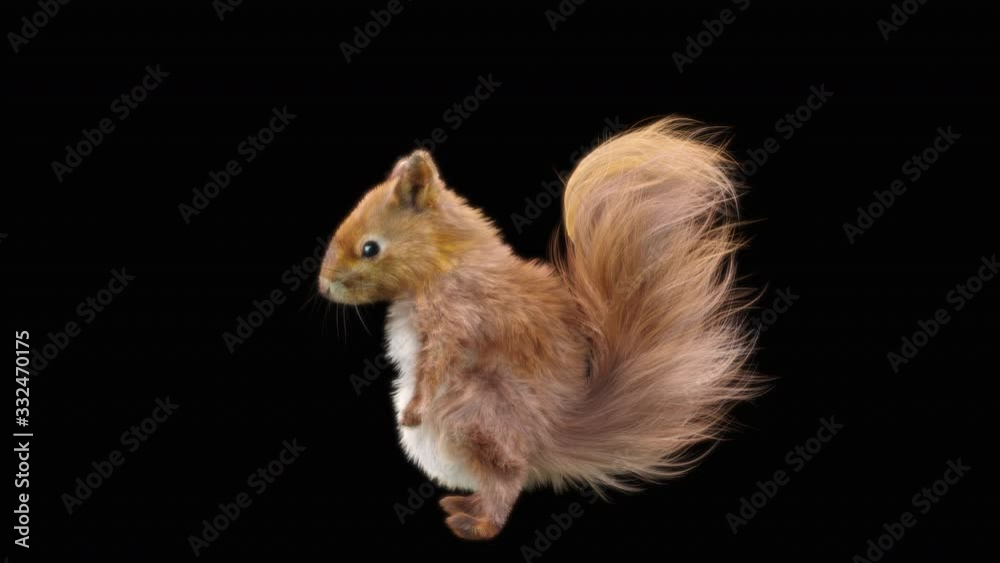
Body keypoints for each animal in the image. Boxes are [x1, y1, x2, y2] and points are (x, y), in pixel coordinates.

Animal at [318, 118, 760, 541]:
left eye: (370, 248)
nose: (323, 286)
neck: (445, 263)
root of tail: (546, 439)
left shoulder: (460, 316)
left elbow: (439, 364)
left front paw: (413, 410)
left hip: (482, 416)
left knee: (508, 479)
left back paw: (479, 524)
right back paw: (465, 505)